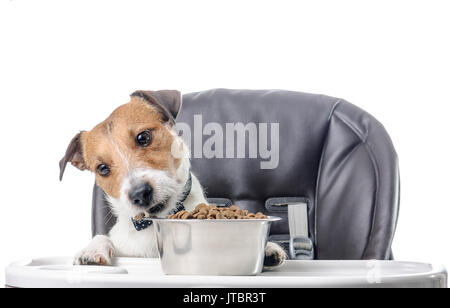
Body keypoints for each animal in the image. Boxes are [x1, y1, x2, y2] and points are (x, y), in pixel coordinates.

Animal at [59, 90, 286, 268]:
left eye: (143, 137)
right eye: (103, 168)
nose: (139, 194)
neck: (155, 222)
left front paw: (267, 248)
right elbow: (102, 236)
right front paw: (92, 250)